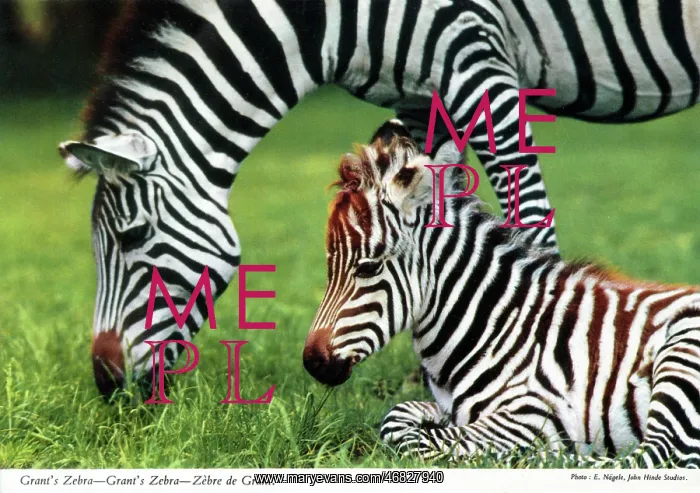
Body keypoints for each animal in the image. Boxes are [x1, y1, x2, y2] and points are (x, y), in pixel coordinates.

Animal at [58, 0, 699, 397]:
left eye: (132, 237)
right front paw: (436, 373)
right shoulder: (420, 90)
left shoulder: (474, 58)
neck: (325, 19)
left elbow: (531, 219)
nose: (106, 386)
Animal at [302, 121, 700, 468]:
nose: (312, 363)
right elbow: (401, 414)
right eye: (329, 267)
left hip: (681, 354)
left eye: (368, 268)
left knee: (652, 455)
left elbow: (424, 438)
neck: (493, 328)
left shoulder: (530, 413)